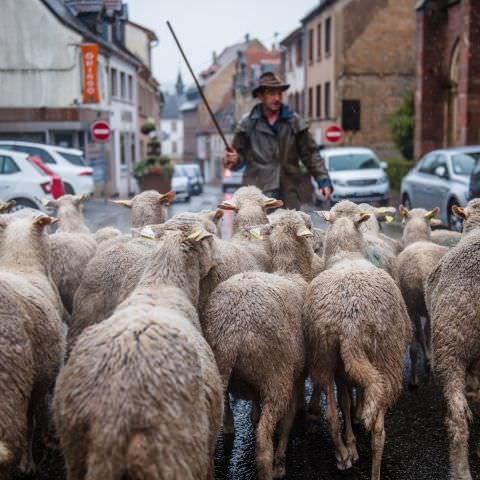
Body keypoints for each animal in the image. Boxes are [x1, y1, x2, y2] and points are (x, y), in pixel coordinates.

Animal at [54, 221, 223, 480]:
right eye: (209, 239)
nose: (217, 261)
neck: (161, 285)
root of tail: (112, 421)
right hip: (173, 455)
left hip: (74, 447)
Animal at [202, 210, 316, 480]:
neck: (292, 272)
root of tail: (231, 333)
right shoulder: (294, 375)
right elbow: (288, 419)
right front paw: (281, 459)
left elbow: (256, 404)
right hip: (276, 374)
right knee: (263, 440)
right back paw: (269, 467)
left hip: (224, 371)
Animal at [304, 213, 412, 480]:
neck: (347, 254)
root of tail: (350, 324)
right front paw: (357, 418)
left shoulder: (343, 368)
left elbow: (345, 401)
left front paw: (352, 433)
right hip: (386, 357)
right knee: (378, 430)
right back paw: (369, 466)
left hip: (324, 356)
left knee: (332, 415)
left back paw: (344, 454)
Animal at [396, 206, 448, 386]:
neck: (418, 239)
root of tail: (421, 270)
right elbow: (425, 332)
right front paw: (428, 359)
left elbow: (421, 333)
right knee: (427, 335)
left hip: (410, 304)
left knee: (414, 343)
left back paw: (414, 379)